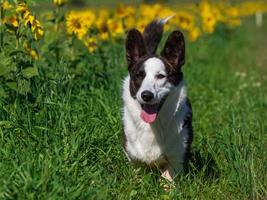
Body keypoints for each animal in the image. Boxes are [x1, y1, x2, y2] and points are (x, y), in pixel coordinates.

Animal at [122, 18, 194, 181]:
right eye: (139, 75)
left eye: (160, 76)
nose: (146, 95)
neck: (153, 125)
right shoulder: (133, 157)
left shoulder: (176, 158)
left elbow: (168, 179)